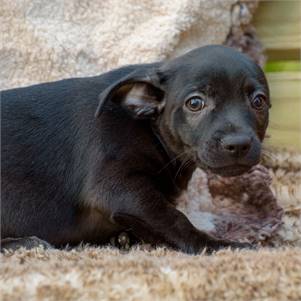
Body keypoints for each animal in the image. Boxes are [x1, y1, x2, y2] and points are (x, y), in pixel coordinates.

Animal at [0, 44, 268, 252]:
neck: (147, 127)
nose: (238, 144)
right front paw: (219, 246)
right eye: (195, 103)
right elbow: (175, 219)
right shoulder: (119, 187)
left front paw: (124, 237)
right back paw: (24, 244)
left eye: (258, 101)